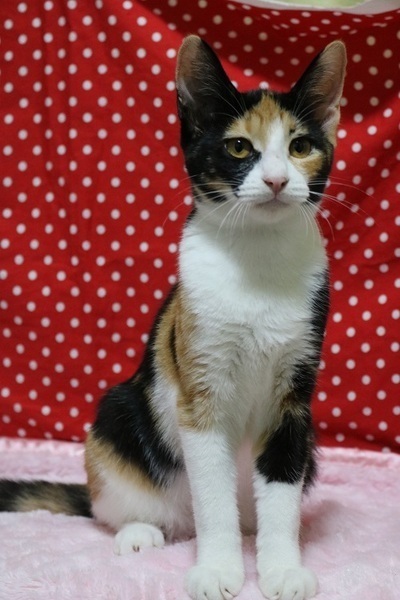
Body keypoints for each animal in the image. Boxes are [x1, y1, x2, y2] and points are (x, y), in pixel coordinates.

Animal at [0, 36, 346, 600]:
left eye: (299, 147)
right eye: (238, 148)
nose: (276, 181)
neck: (258, 262)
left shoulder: (294, 400)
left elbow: (281, 494)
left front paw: (280, 570)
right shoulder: (198, 390)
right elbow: (212, 496)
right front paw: (219, 570)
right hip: (118, 412)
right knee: (118, 505)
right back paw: (142, 532)